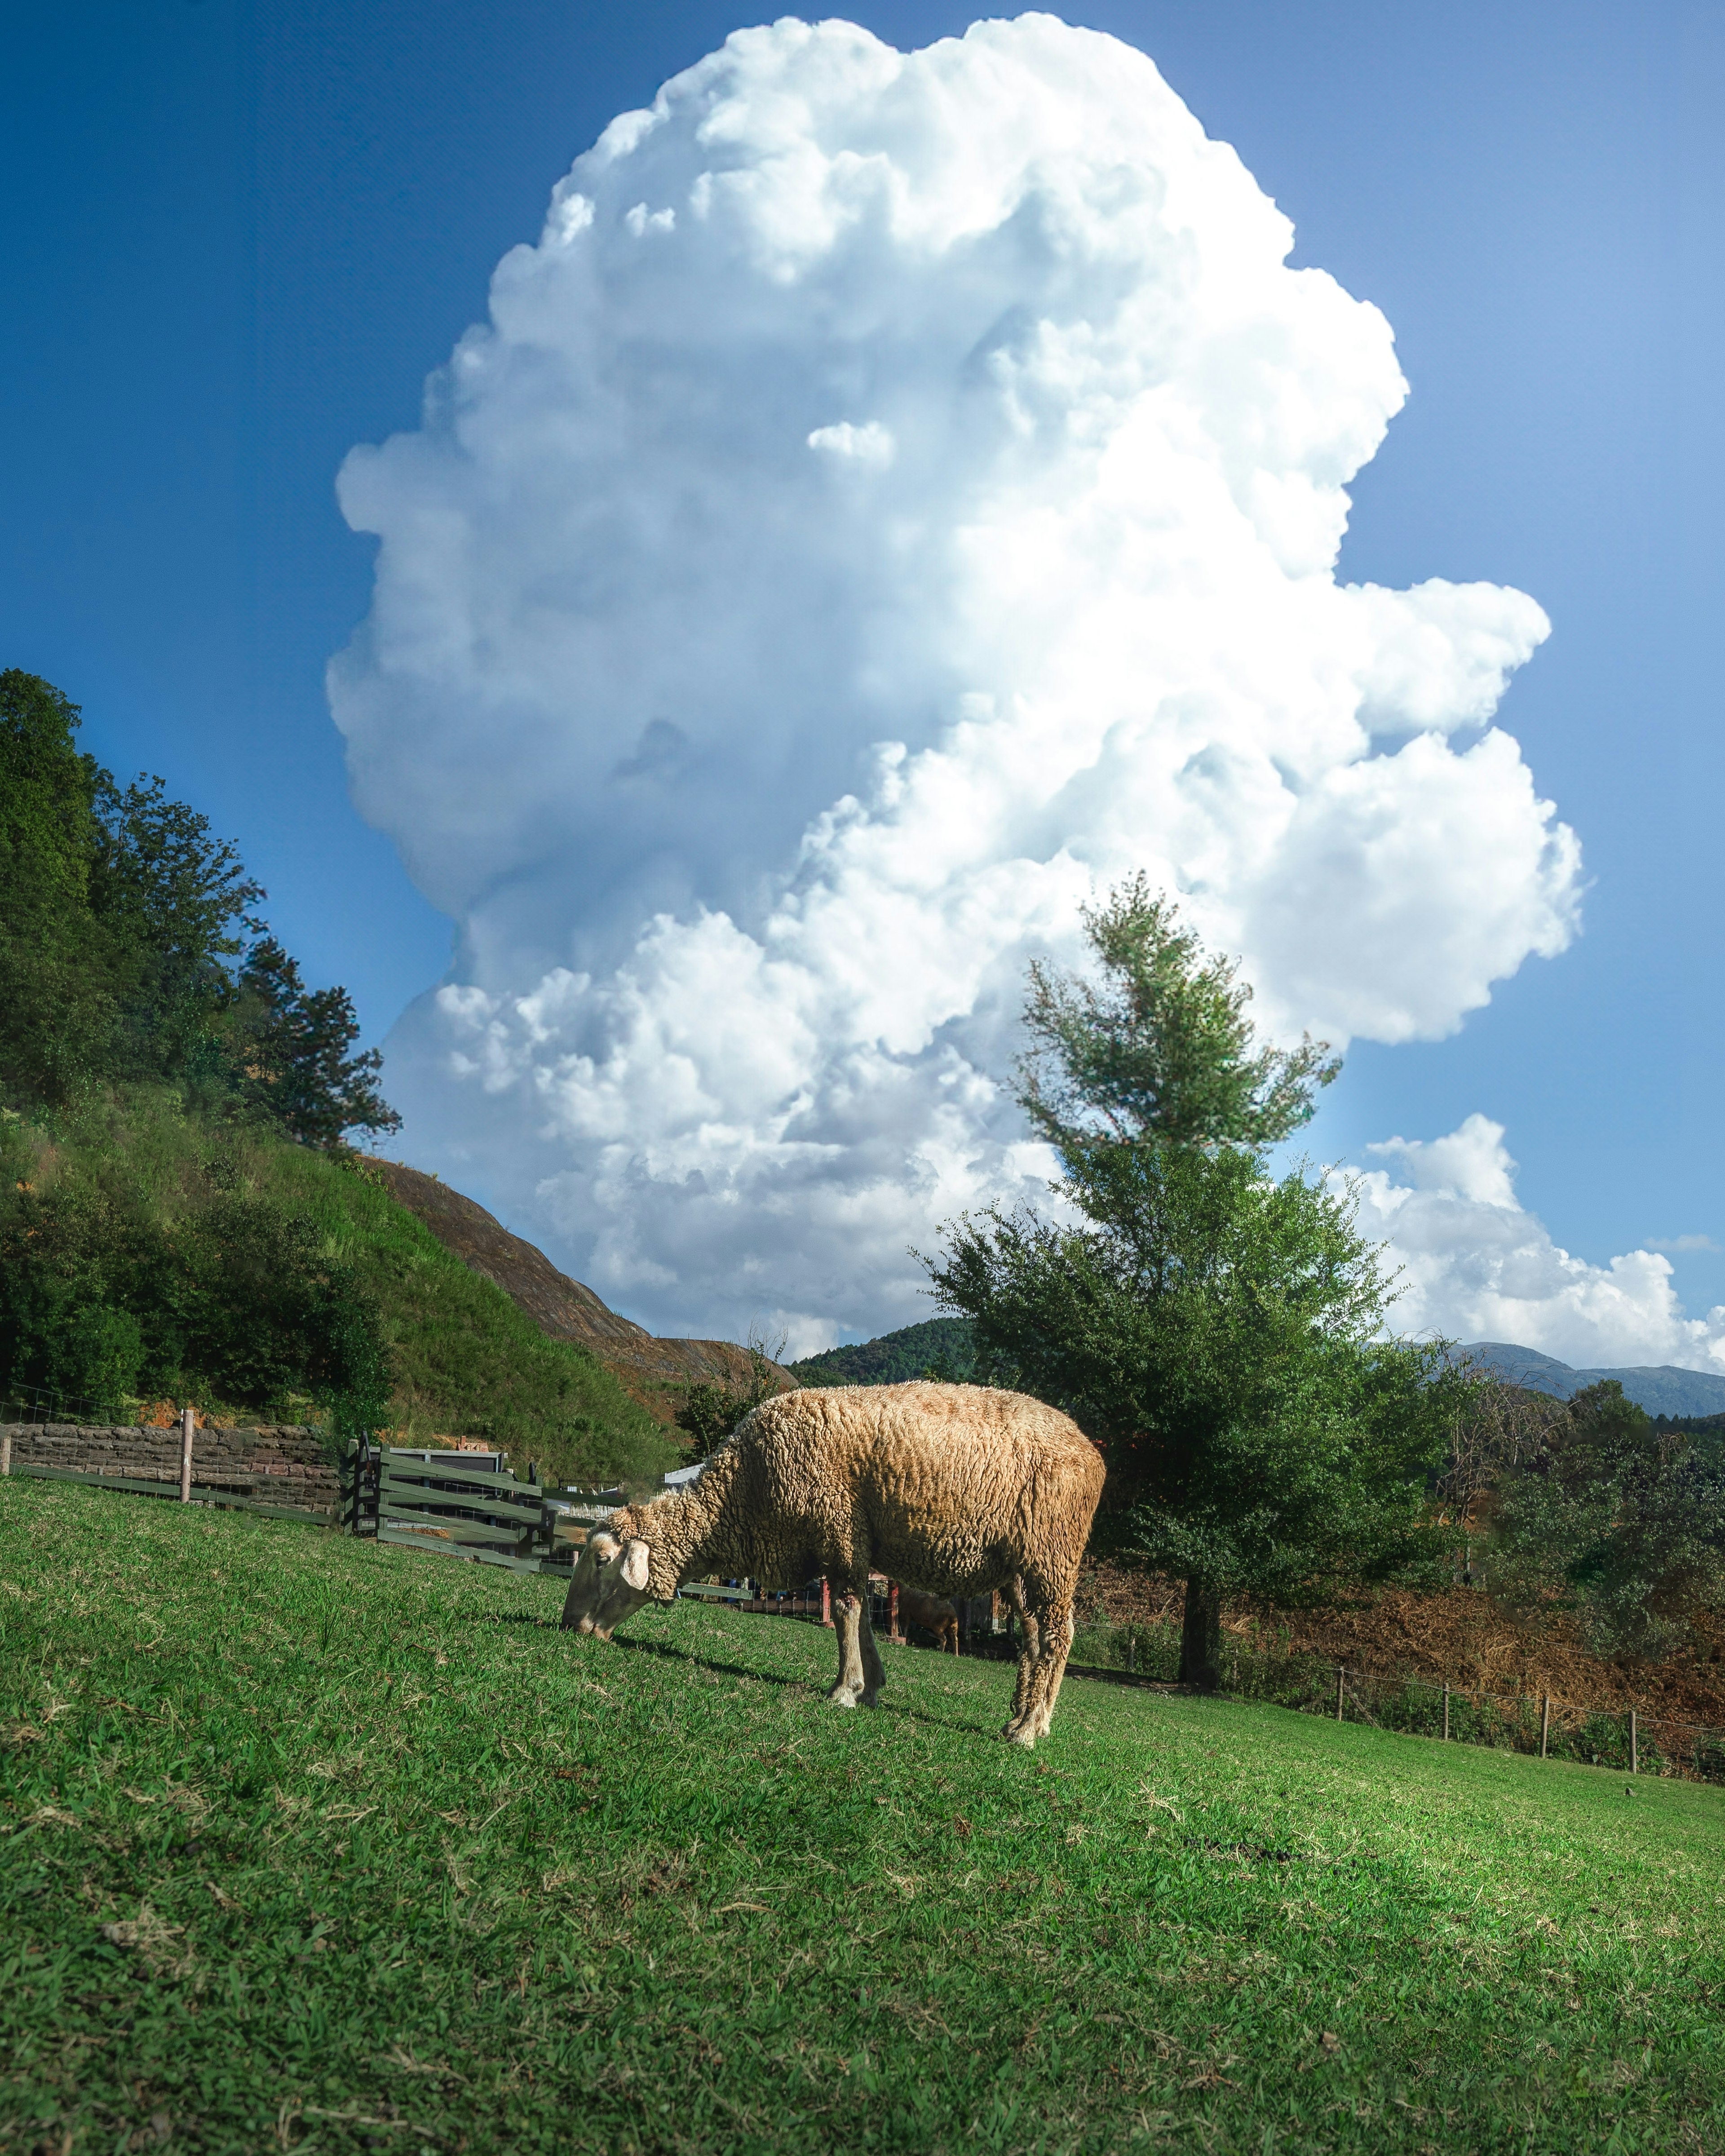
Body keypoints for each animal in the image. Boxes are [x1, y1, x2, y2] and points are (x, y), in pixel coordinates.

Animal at [561, 1380, 1104, 1750]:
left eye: (602, 1559)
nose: (569, 1625)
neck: (743, 1494)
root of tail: (1092, 1452)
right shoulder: (845, 1542)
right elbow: (860, 1615)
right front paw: (869, 1686)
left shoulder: (839, 1526)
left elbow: (844, 1610)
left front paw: (845, 1689)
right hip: (1020, 1566)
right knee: (1034, 1637)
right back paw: (1025, 1717)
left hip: (1053, 1551)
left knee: (1060, 1634)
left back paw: (1030, 1728)